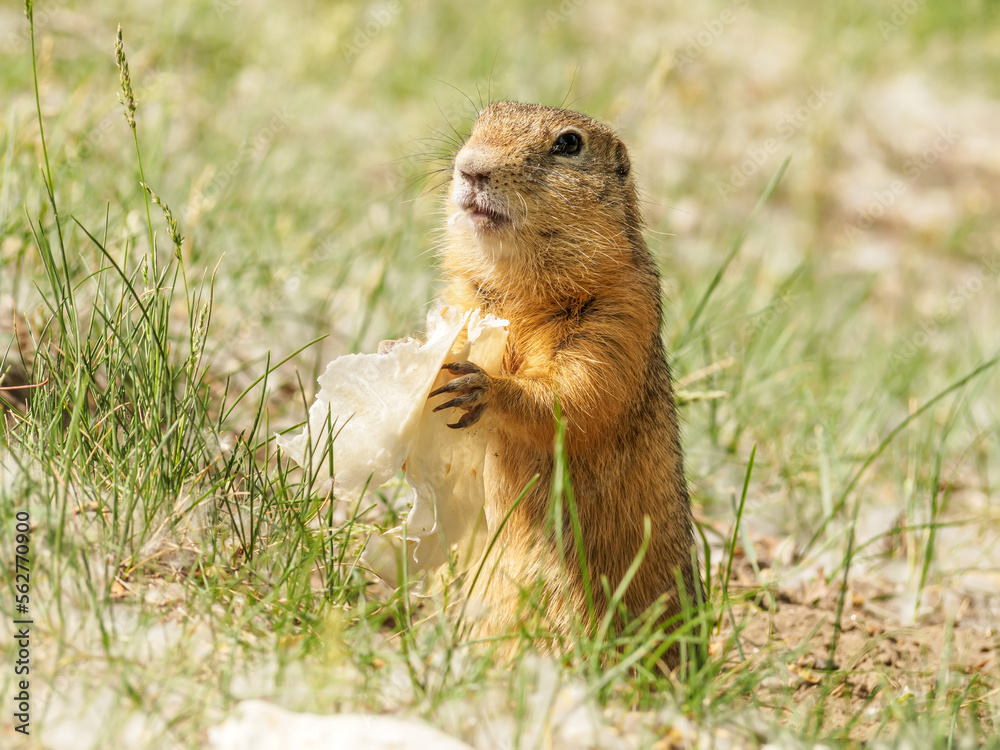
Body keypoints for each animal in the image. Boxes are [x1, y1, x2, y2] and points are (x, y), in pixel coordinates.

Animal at [426, 100, 700, 664]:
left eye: (568, 144)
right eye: (481, 119)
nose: (470, 167)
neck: (520, 289)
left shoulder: (618, 317)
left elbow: (574, 393)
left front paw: (480, 386)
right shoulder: (463, 293)